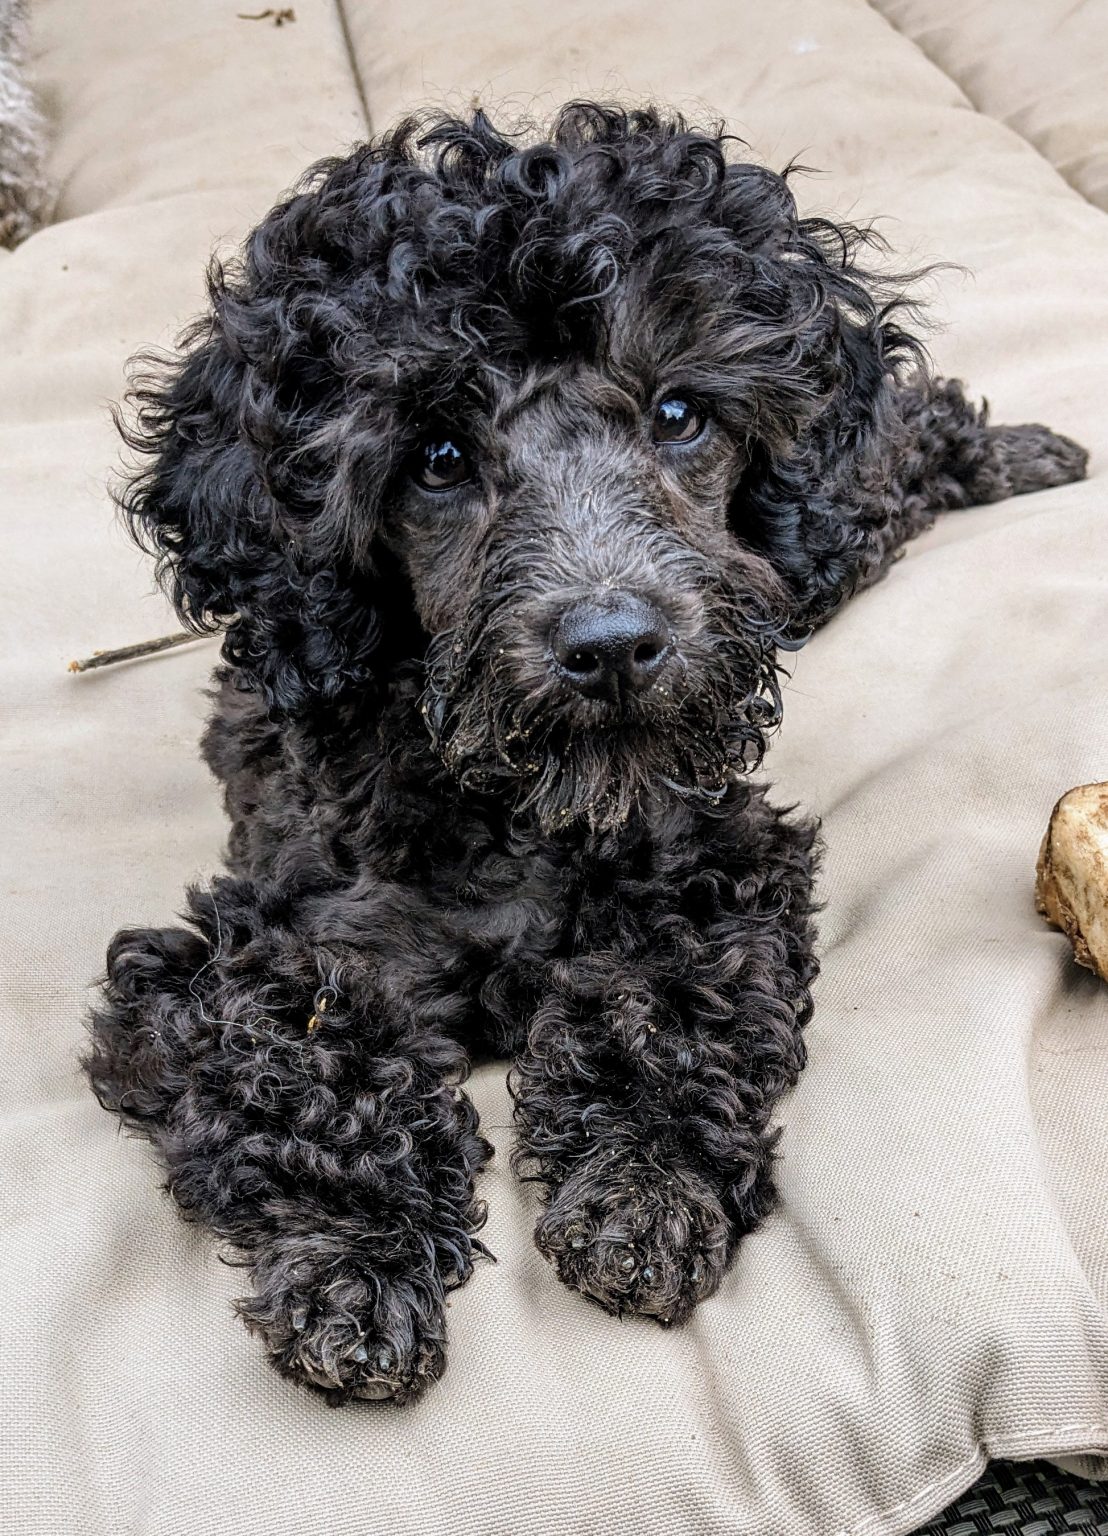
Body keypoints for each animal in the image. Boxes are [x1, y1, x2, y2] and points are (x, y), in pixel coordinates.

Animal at [84, 103, 1088, 1403]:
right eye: (437, 459)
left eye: (679, 415)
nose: (613, 648)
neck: (514, 800)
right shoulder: (228, 955)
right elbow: (307, 1068)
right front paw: (355, 1265)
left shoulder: (713, 862)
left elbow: (663, 1002)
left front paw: (642, 1193)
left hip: (830, 515)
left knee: (892, 453)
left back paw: (1027, 450)